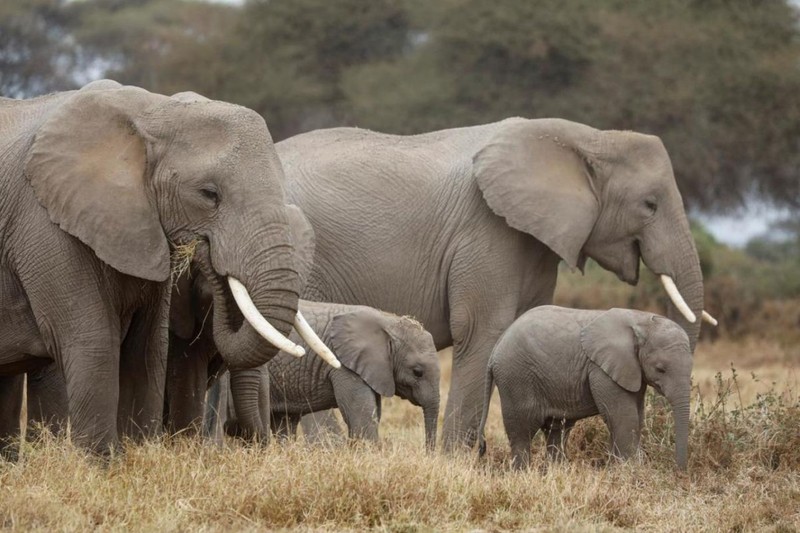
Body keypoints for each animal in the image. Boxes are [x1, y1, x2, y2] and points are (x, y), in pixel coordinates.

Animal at [0, 81, 334, 456]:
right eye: (209, 194)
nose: (204, 249)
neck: (155, 113)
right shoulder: (44, 226)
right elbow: (93, 342)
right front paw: (101, 465)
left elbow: (147, 349)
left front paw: (141, 456)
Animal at [209, 302, 440, 446]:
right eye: (417, 372)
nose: (428, 454)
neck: (388, 322)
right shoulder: (345, 366)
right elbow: (362, 417)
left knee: (284, 424)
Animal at [478, 306, 692, 468]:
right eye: (660, 369)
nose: (679, 471)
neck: (641, 319)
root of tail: (495, 348)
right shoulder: (601, 370)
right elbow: (624, 416)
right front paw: (631, 471)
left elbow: (636, 418)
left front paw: (619, 468)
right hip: (515, 377)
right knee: (522, 430)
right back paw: (523, 473)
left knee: (557, 431)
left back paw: (558, 471)